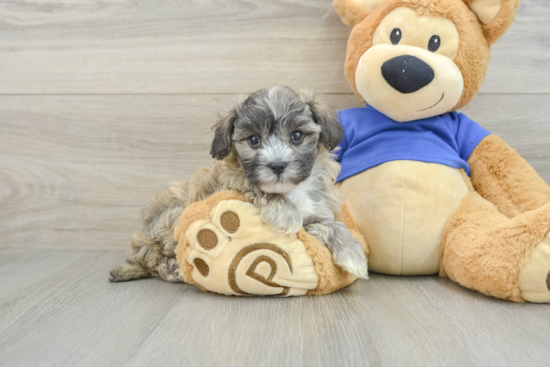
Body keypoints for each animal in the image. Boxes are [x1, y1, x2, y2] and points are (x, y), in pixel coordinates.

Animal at [109, 85, 368, 282]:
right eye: (253, 140)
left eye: (296, 135)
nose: (277, 166)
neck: (293, 190)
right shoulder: (231, 184)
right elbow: (255, 188)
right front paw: (285, 214)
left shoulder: (318, 211)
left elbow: (334, 225)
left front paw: (352, 252)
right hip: (172, 218)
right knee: (156, 260)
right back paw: (176, 270)